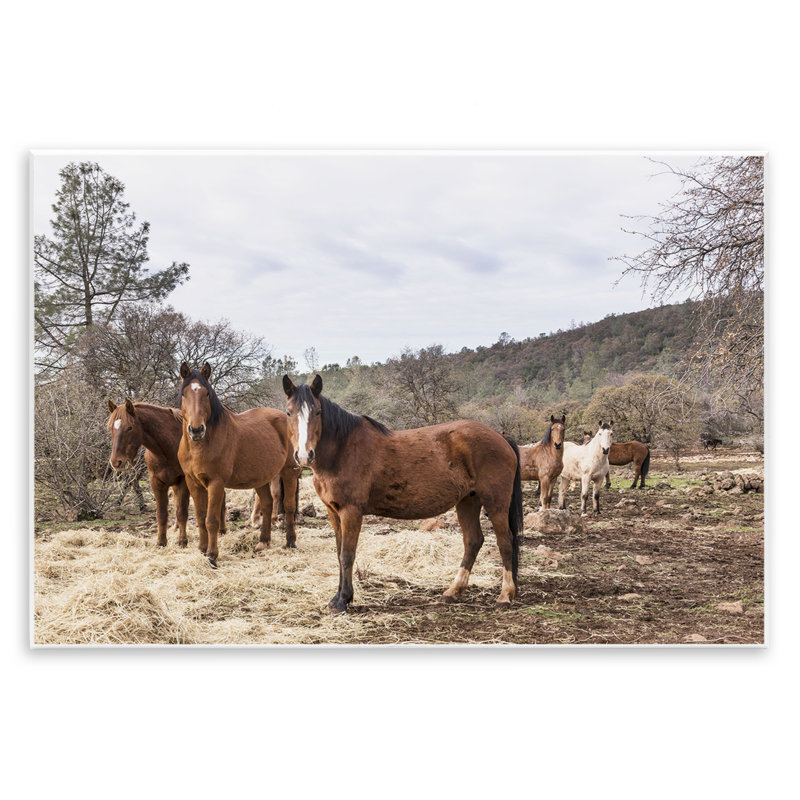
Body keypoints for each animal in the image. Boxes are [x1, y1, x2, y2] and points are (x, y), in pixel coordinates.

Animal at [178, 362, 300, 566]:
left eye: (207, 394)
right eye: (183, 394)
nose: (196, 430)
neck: (202, 444)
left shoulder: (216, 483)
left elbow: (211, 520)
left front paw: (212, 556)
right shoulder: (193, 482)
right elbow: (201, 517)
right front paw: (202, 549)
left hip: (289, 471)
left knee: (289, 505)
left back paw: (290, 542)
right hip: (261, 478)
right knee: (267, 504)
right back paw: (262, 543)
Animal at [283, 375, 524, 613]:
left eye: (318, 412)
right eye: (288, 412)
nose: (304, 456)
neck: (343, 450)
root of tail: (501, 437)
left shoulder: (351, 513)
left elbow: (347, 555)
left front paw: (344, 600)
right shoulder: (333, 512)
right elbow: (338, 553)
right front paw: (337, 599)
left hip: (496, 504)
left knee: (505, 542)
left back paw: (505, 595)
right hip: (467, 502)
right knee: (473, 541)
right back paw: (454, 591)